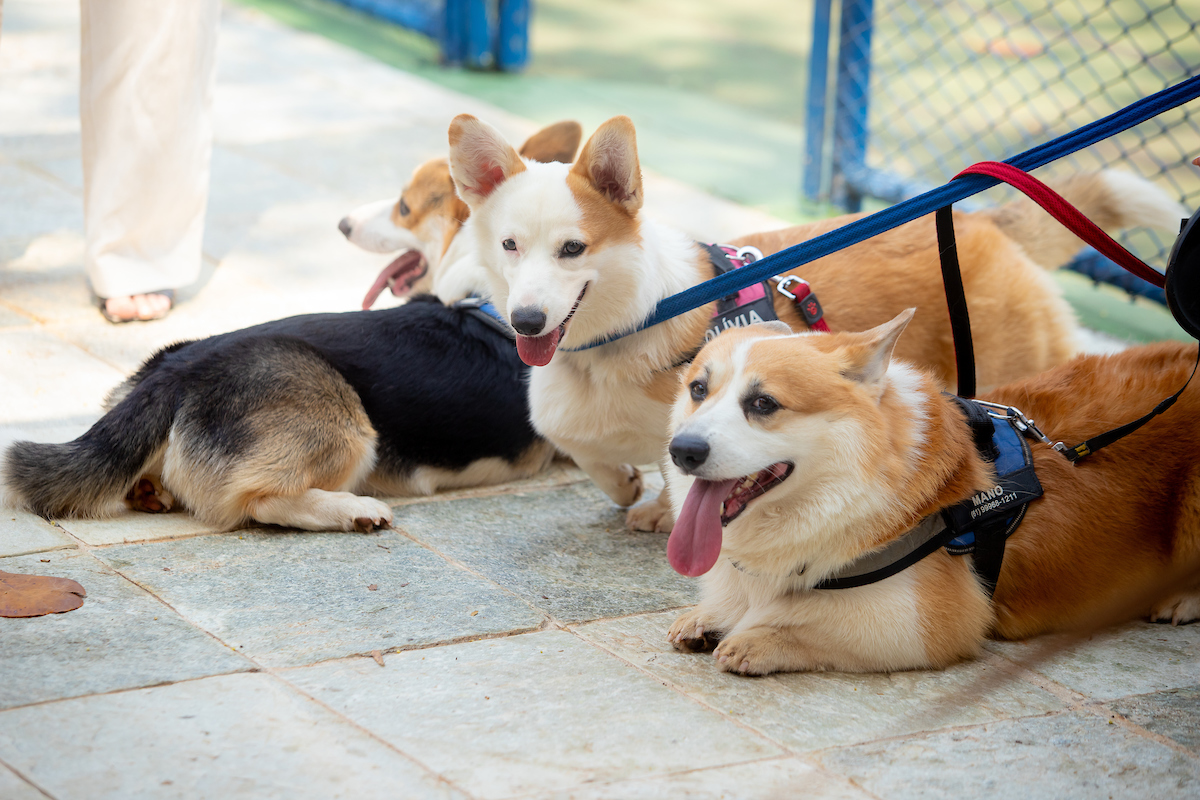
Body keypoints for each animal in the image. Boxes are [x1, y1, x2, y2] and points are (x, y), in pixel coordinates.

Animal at [0, 120, 580, 532]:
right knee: (257, 502)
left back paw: (151, 491)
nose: (343, 223)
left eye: (403, 207)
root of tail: (173, 376)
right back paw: (353, 510)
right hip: (349, 425)